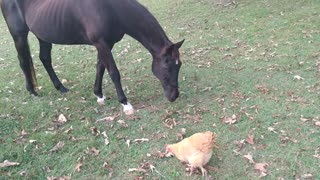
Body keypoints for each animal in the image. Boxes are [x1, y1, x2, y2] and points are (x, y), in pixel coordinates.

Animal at [0, 0, 184, 114]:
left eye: (179, 65)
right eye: (167, 66)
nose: (174, 96)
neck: (110, 8)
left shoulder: (106, 44)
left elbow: (100, 68)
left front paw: (99, 95)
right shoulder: (101, 43)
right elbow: (113, 72)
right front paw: (125, 104)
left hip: (43, 35)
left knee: (45, 59)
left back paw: (61, 88)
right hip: (19, 35)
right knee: (23, 61)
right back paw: (32, 91)